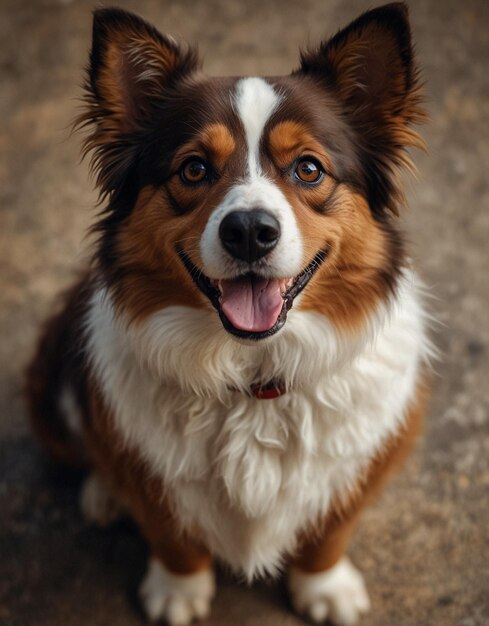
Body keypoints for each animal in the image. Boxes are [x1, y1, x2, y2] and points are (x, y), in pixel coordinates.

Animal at [27, 4, 430, 624]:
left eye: (308, 169)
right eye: (193, 169)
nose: (248, 232)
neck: (253, 376)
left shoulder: (372, 454)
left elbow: (330, 530)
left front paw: (325, 588)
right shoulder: (147, 467)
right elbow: (170, 532)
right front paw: (178, 592)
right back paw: (102, 493)